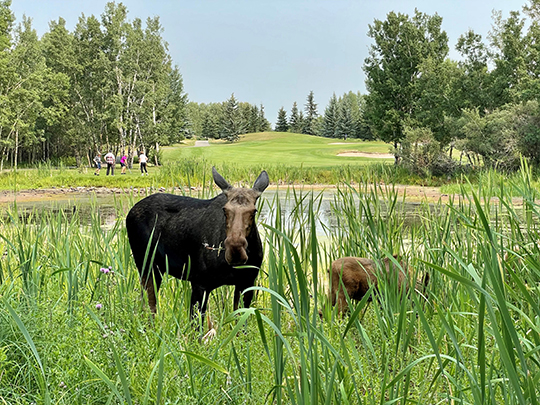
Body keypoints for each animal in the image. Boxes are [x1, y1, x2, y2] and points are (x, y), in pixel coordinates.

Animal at [126, 165, 270, 322]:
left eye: (254, 211)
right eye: (225, 210)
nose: (235, 251)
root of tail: (130, 212)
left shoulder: (247, 283)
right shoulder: (200, 283)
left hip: (157, 269)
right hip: (146, 265)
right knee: (149, 305)